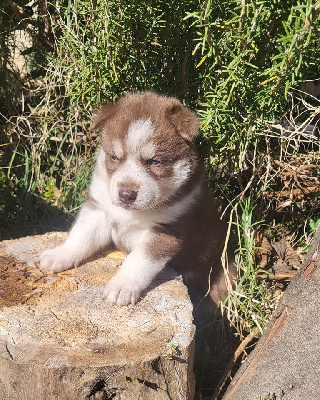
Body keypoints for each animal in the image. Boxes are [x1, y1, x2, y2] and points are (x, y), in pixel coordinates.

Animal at [39, 93, 230, 310]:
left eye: (154, 162)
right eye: (114, 157)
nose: (126, 194)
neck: (132, 213)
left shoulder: (166, 230)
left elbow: (138, 261)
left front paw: (121, 286)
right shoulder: (99, 209)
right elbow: (81, 235)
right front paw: (59, 255)